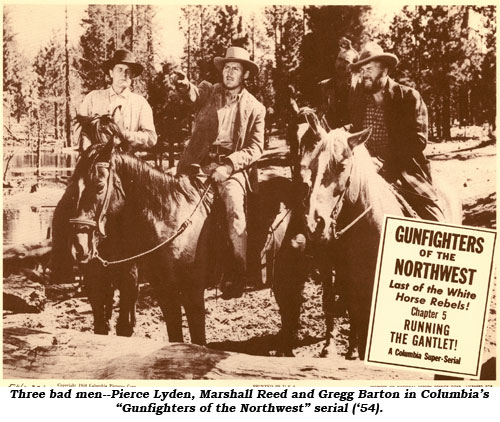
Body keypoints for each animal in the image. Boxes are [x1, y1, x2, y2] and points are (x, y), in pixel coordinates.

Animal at [64, 113, 298, 346]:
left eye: (99, 185)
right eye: (73, 184)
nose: (79, 245)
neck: (172, 222)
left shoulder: (193, 291)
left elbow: (198, 338)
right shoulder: (165, 292)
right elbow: (175, 335)